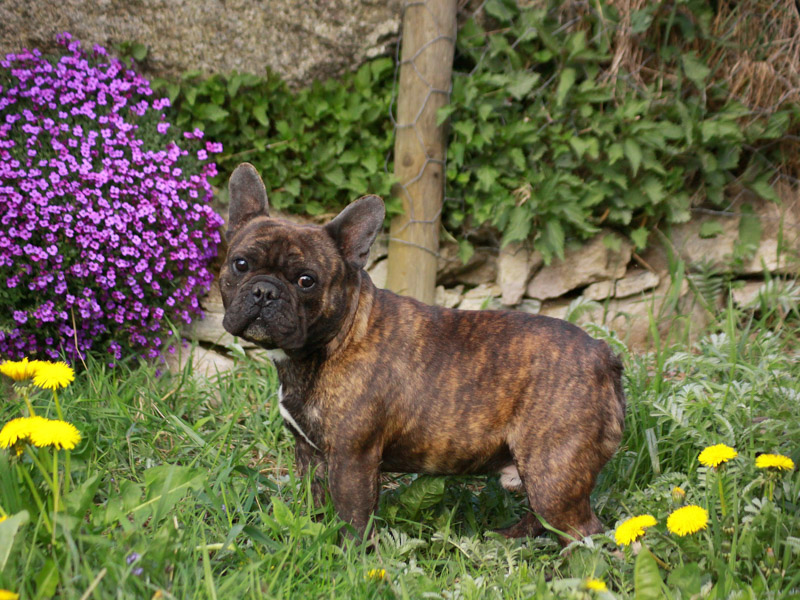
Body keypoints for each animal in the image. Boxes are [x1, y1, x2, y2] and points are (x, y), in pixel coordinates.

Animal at [219, 162, 624, 540]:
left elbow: (353, 520)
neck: (335, 340)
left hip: (552, 471)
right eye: (240, 264)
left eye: (306, 281)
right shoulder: (309, 455)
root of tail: (603, 354)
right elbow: (312, 506)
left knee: (582, 531)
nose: (265, 291)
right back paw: (508, 537)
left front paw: (351, 556)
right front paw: (310, 538)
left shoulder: (352, 459)